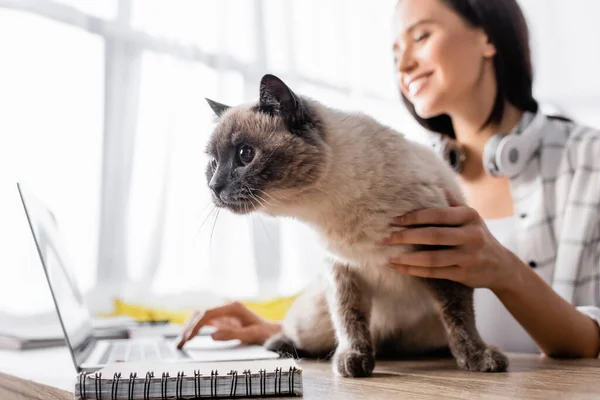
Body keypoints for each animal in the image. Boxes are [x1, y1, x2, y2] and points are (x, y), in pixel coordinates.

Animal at [204, 73, 508, 376]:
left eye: (245, 154)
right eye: (213, 163)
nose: (213, 187)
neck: (326, 209)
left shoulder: (441, 256)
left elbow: (458, 316)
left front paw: (479, 358)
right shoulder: (343, 269)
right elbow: (350, 318)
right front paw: (354, 360)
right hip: (312, 324)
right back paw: (287, 348)